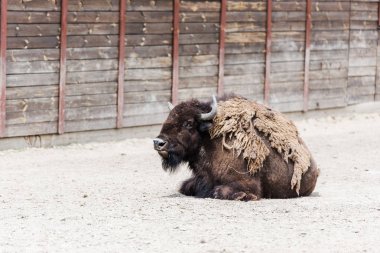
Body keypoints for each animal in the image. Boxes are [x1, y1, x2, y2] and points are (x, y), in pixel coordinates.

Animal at [153, 95, 320, 202]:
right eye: (169, 118)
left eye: (188, 123)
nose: (158, 142)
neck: (208, 140)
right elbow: (185, 186)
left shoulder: (247, 183)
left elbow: (220, 191)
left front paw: (242, 196)